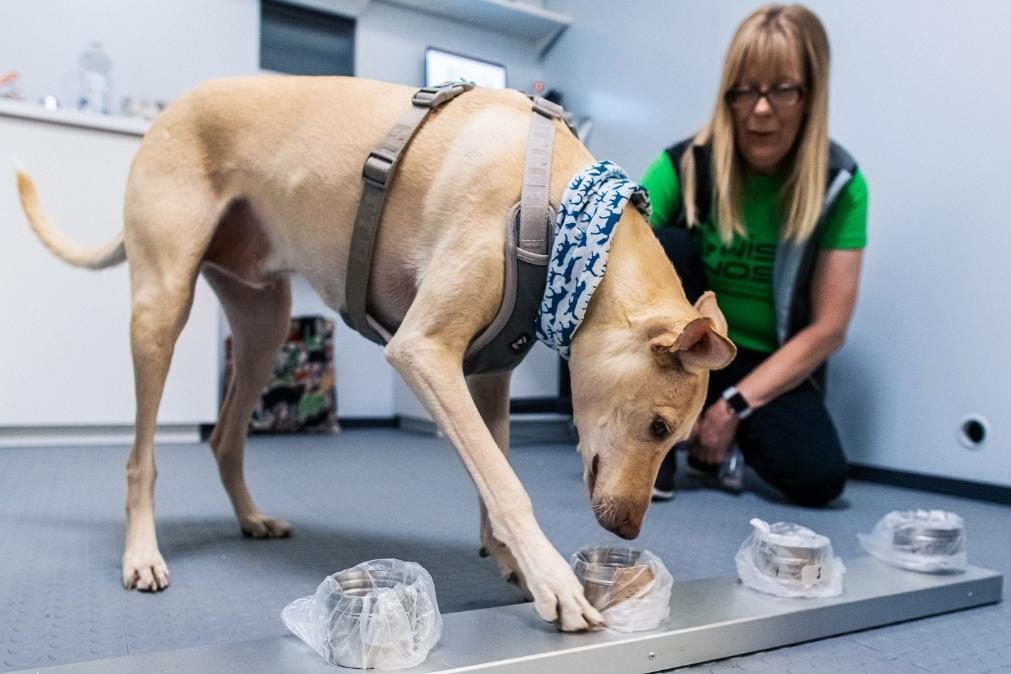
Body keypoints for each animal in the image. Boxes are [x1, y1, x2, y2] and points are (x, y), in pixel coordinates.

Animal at [15, 75, 736, 634]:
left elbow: (492, 468)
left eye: (675, 440)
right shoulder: (423, 351)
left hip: (264, 325)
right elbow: (506, 484)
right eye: (657, 427)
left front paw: (511, 560)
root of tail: (169, 108)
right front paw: (553, 578)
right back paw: (141, 554)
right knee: (141, 459)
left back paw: (250, 518)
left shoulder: (489, 375)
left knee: (224, 438)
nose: (627, 532)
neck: (566, 222)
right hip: (161, 308)